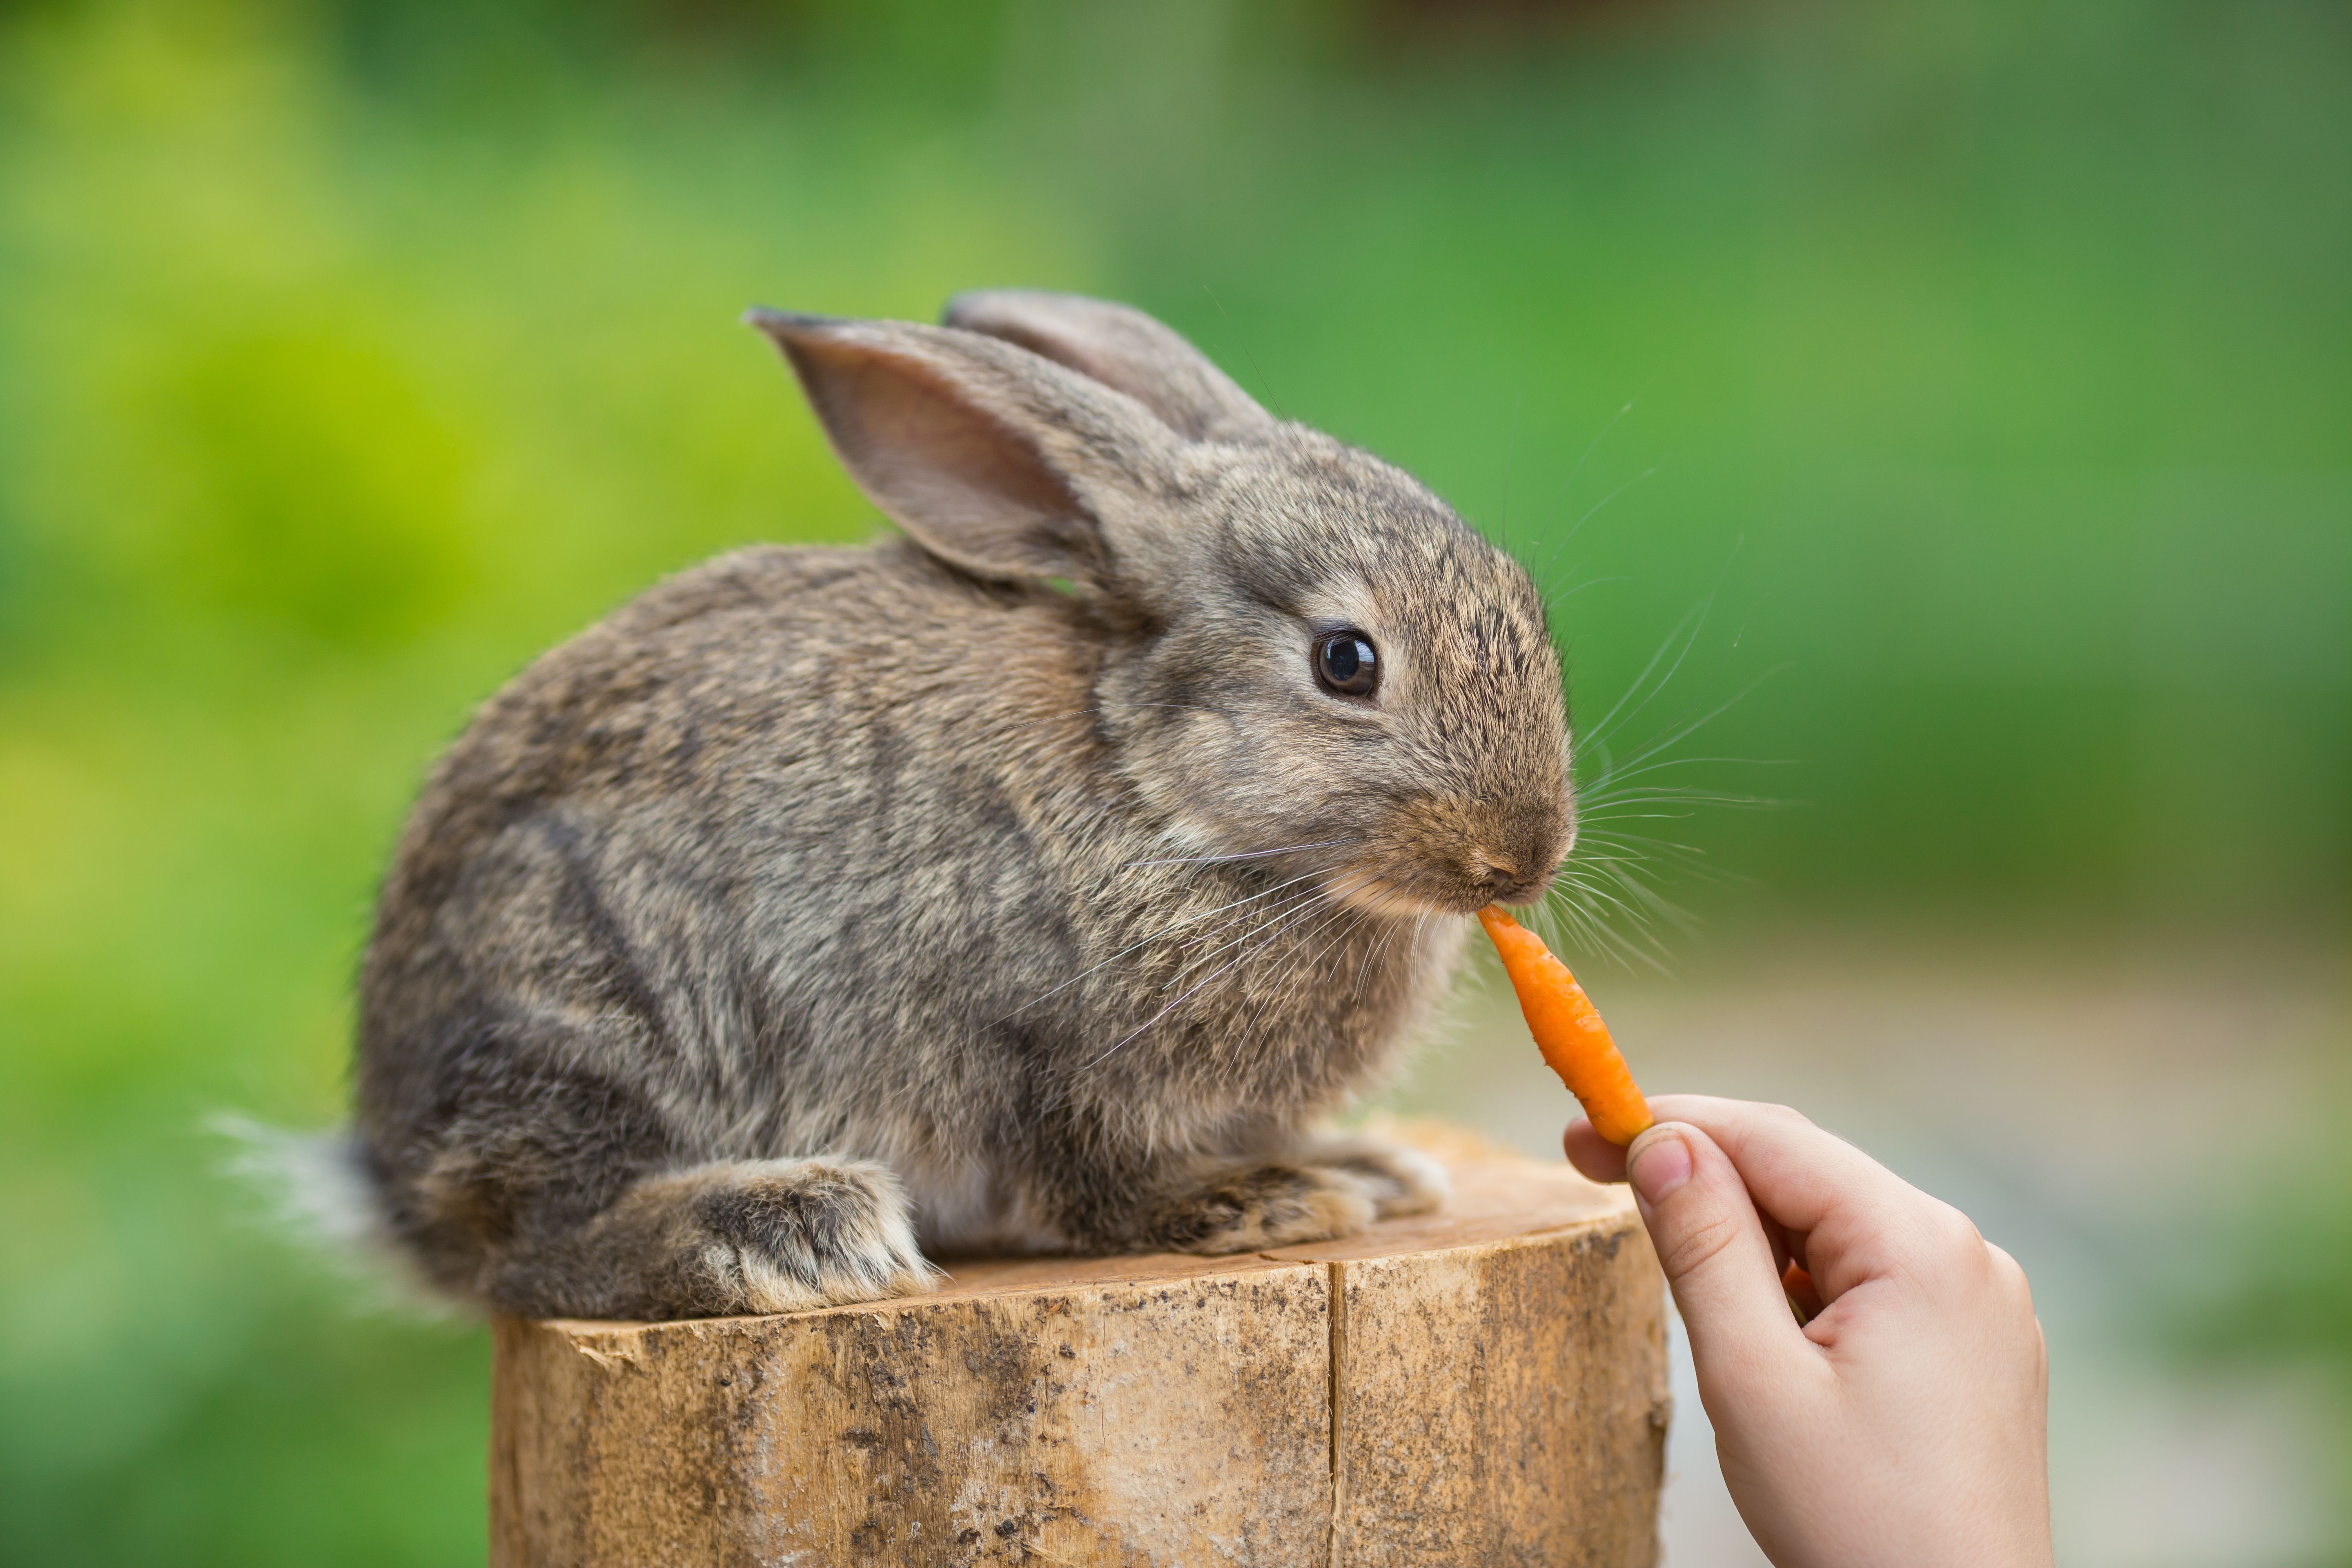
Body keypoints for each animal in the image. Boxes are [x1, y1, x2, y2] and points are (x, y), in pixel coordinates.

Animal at [353, 288, 1580, 1316]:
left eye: (1522, 601)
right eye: (1344, 661)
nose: (1523, 856)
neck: (1160, 798)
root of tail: (386, 1172)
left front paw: (1363, 1167)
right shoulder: (1031, 1054)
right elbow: (1095, 1183)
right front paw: (1263, 1201)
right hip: (590, 999)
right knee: (532, 1250)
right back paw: (786, 1228)